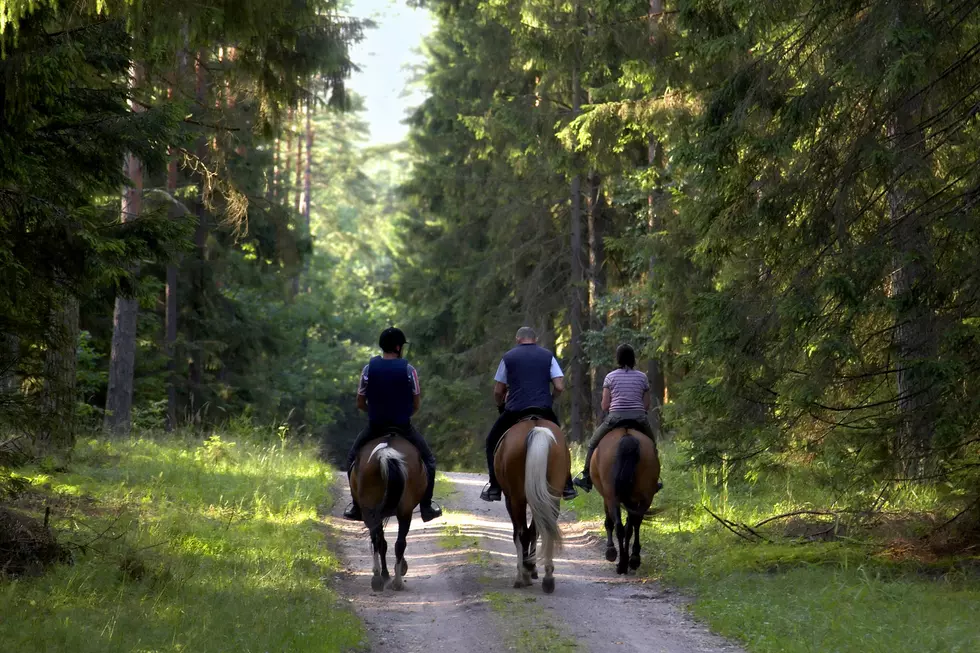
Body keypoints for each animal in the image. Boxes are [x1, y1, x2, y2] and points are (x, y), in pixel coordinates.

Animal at [348, 432, 424, 592]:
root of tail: (386, 453)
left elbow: (381, 541)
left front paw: (386, 572)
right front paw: (398, 568)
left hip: (371, 511)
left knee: (378, 541)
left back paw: (379, 577)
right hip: (404, 511)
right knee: (399, 543)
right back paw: (396, 581)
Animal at [494, 416, 572, 592]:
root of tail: (537, 428)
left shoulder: (510, 499)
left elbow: (519, 533)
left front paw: (527, 570)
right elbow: (534, 531)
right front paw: (532, 567)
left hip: (517, 499)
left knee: (522, 533)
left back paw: (523, 575)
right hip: (552, 495)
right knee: (545, 529)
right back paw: (548, 578)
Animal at [584, 422, 664, 572]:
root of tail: (627, 438)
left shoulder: (606, 497)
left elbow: (609, 522)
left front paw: (610, 551)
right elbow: (630, 525)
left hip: (612, 497)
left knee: (619, 527)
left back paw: (621, 563)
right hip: (645, 496)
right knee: (633, 524)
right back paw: (632, 559)